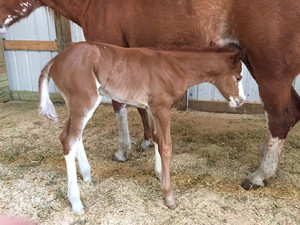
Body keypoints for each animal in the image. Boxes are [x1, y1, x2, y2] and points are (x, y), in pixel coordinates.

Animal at [0, 0, 300, 192]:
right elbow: (140, 105)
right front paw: (146, 141)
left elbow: (120, 104)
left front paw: (124, 150)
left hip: (269, 69)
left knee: (282, 116)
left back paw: (260, 174)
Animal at [38, 42, 245, 213]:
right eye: (238, 77)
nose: (241, 101)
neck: (174, 67)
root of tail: (56, 59)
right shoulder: (162, 108)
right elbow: (166, 147)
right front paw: (169, 197)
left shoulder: (152, 108)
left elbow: (156, 138)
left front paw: (159, 174)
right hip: (84, 102)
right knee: (68, 140)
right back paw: (76, 202)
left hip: (76, 105)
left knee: (73, 137)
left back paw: (87, 175)